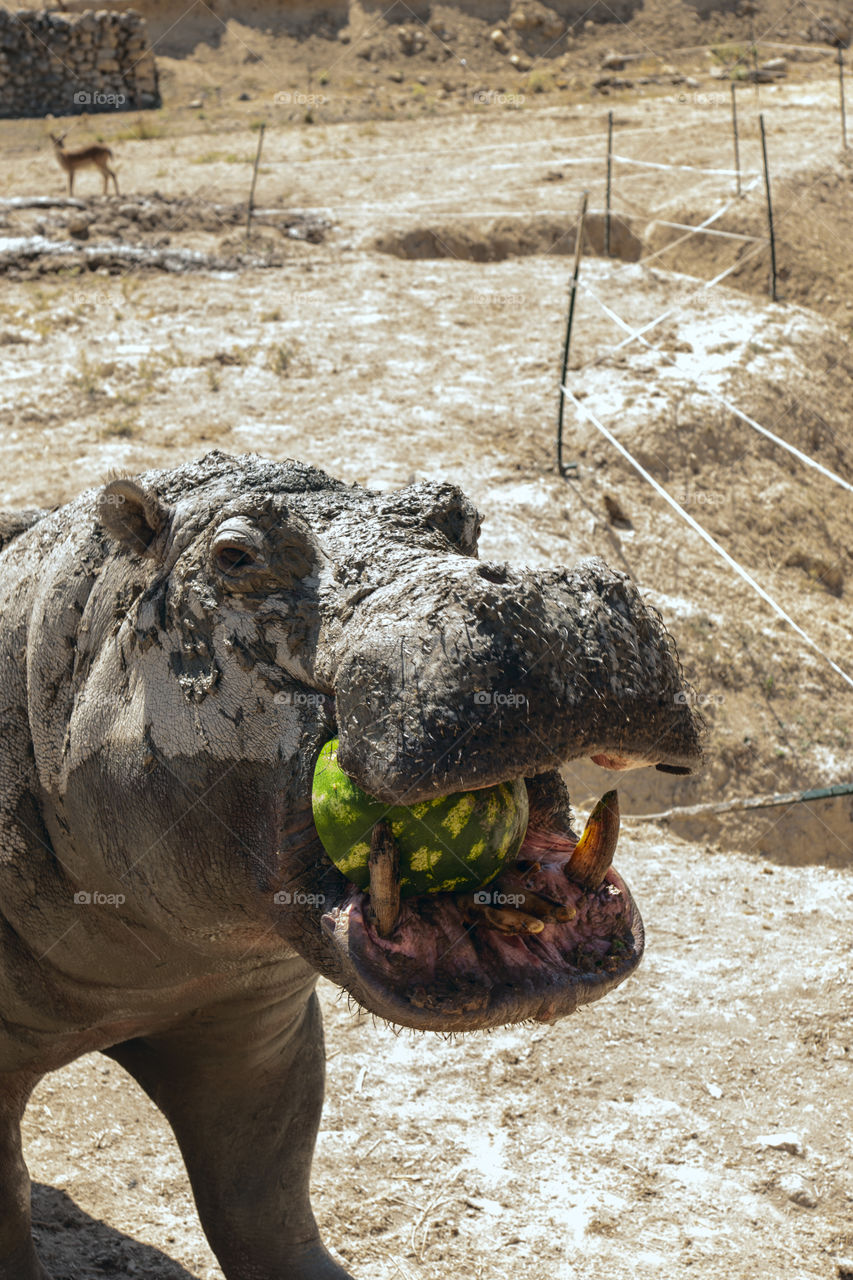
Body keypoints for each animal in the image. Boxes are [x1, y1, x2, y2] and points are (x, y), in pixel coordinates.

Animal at [0, 453, 696, 1280]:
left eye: (460, 513)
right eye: (233, 555)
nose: (541, 602)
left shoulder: (256, 1025)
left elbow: (262, 1195)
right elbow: (9, 1216)